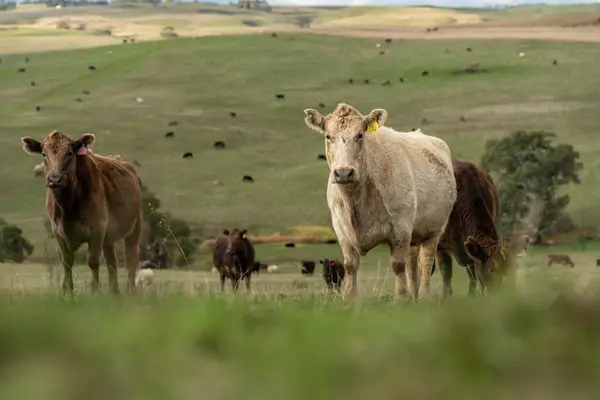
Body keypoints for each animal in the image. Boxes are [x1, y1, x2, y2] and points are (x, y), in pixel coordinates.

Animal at [20, 130, 143, 294]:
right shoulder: (58, 232)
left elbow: (93, 261)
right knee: (112, 262)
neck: (68, 208)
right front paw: (67, 292)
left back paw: (131, 292)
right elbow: (67, 262)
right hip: (109, 237)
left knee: (131, 258)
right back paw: (114, 293)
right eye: (44, 154)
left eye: (69, 153)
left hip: (135, 227)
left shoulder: (97, 228)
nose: (54, 179)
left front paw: (95, 292)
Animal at [302, 103, 458, 300]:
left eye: (360, 135)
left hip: (434, 230)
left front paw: (401, 298)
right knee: (412, 263)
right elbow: (350, 265)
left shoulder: (401, 226)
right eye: (328, 136)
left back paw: (423, 296)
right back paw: (414, 294)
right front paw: (349, 297)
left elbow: (398, 264)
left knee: (425, 262)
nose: (344, 173)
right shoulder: (341, 227)